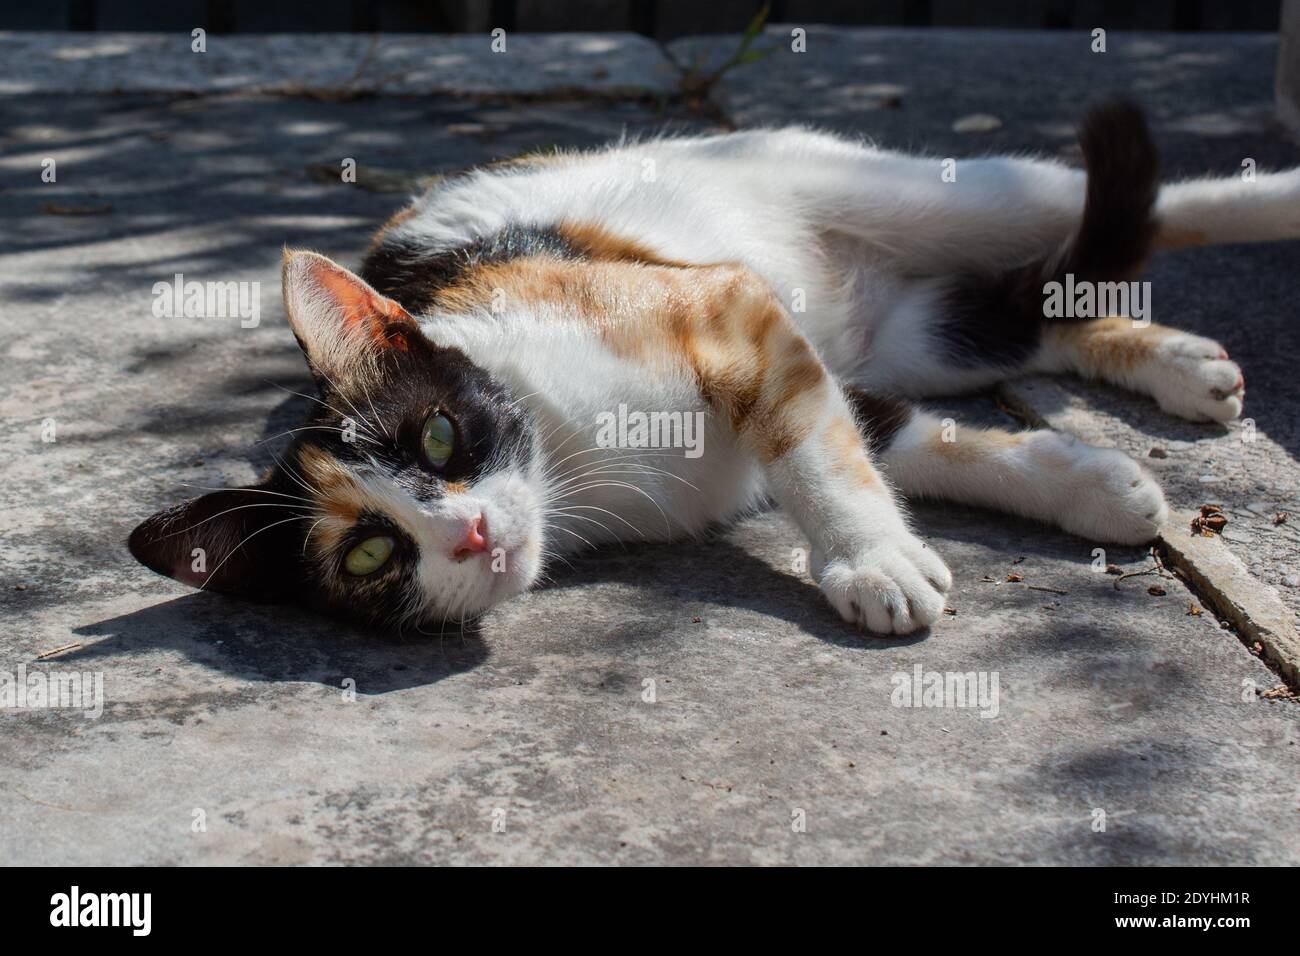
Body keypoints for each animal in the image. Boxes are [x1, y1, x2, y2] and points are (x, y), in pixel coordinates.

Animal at [129, 102, 1300, 634]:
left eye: (438, 434)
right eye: (370, 555)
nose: (468, 533)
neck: (570, 464)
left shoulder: (727, 305)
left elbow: (817, 454)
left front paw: (869, 559)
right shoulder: (801, 365)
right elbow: (895, 437)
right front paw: (1093, 485)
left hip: (908, 193)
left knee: (1103, 206)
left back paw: (1263, 209)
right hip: (908, 327)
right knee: (1019, 312)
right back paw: (1180, 364)